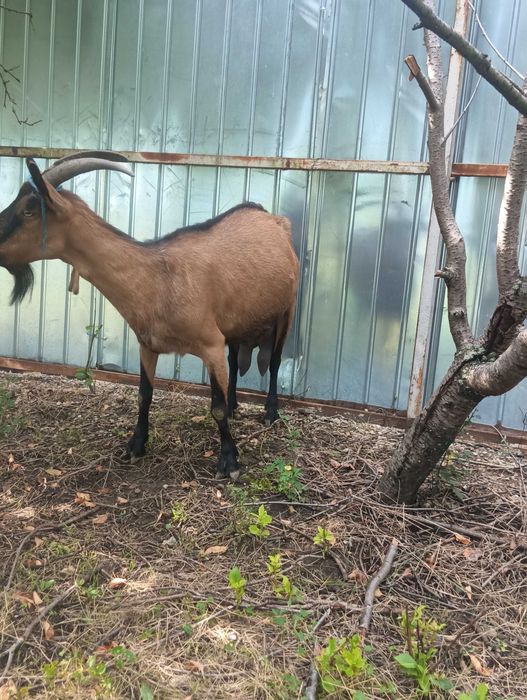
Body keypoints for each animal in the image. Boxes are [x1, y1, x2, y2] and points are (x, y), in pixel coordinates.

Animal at [0, 152, 299, 480]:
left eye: (29, 210)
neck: (158, 279)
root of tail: (272, 219)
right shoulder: (147, 345)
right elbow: (144, 395)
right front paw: (136, 445)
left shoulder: (210, 344)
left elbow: (216, 407)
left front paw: (229, 462)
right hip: (238, 323)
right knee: (235, 361)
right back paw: (236, 404)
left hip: (287, 310)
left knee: (274, 362)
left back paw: (270, 411)